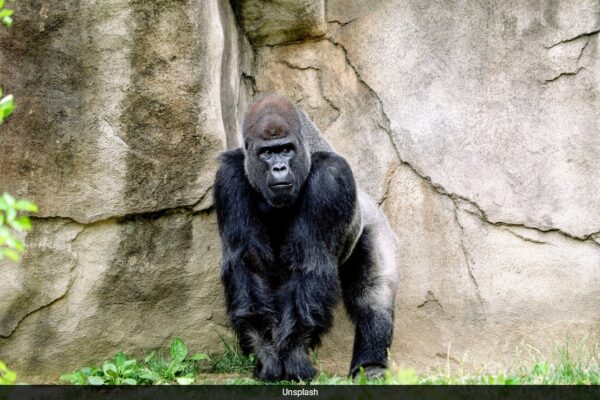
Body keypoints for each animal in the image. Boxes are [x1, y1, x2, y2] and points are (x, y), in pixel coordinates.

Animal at [213, 94, 396, 382]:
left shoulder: (331, 179)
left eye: (286, 149)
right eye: (267, 153)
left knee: (372, 294)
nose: (279, 167)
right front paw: (266, 353)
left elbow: (310, 265)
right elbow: (249, 266)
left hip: (374, 225)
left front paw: (294, 355)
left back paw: (371, 365)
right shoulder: (229, 177)